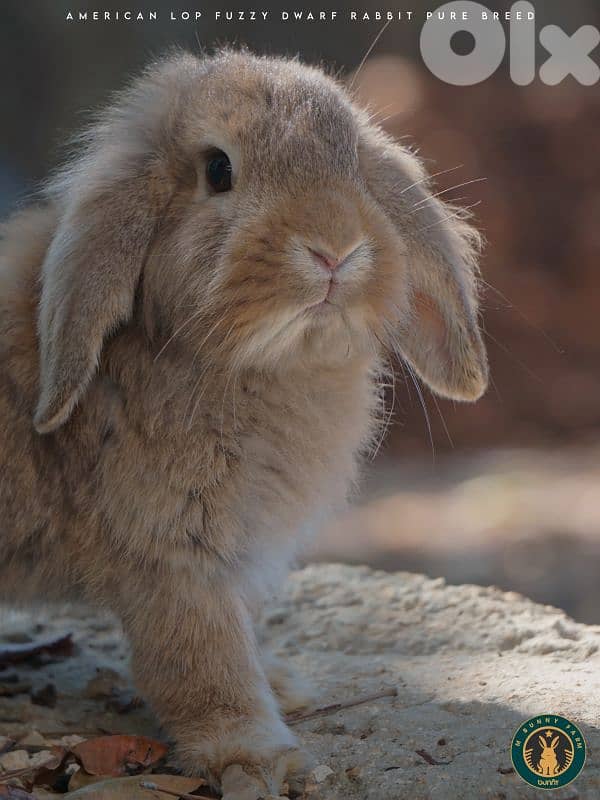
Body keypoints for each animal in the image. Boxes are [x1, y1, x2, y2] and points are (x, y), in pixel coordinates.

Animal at [0, 48, 488, 797]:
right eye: (218, 170)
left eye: (351, 163)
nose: (335, 249)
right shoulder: (176, 558)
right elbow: (204, 664)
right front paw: (259, 757)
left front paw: (283, 685)